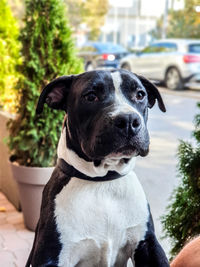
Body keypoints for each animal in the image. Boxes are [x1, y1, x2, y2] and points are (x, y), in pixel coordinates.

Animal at [25, 70, 169, 266]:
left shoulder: (147, 244)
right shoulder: (51, 256)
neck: (102, 182)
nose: (128, 120)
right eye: (91, 96)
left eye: (140, 95)